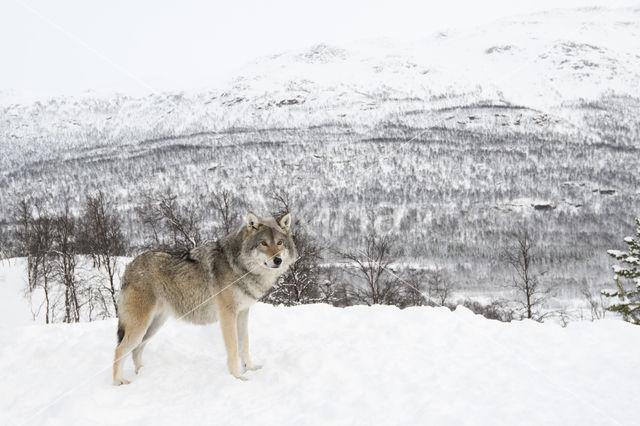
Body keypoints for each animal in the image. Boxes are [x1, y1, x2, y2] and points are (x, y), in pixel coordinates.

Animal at [114, 211, 296, 384]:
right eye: (263, 243)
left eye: (279, 243)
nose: (277, 260)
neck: (239, 267)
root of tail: (129, 266)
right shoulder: (227, 314)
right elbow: (234, 348)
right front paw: (237, 377)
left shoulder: (243, 313)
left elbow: (244, 344)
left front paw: (249, 368)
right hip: (140, 326)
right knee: (120, 349)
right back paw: (119, 382)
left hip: (153, 325)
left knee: (136, 350)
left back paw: (142, 373)